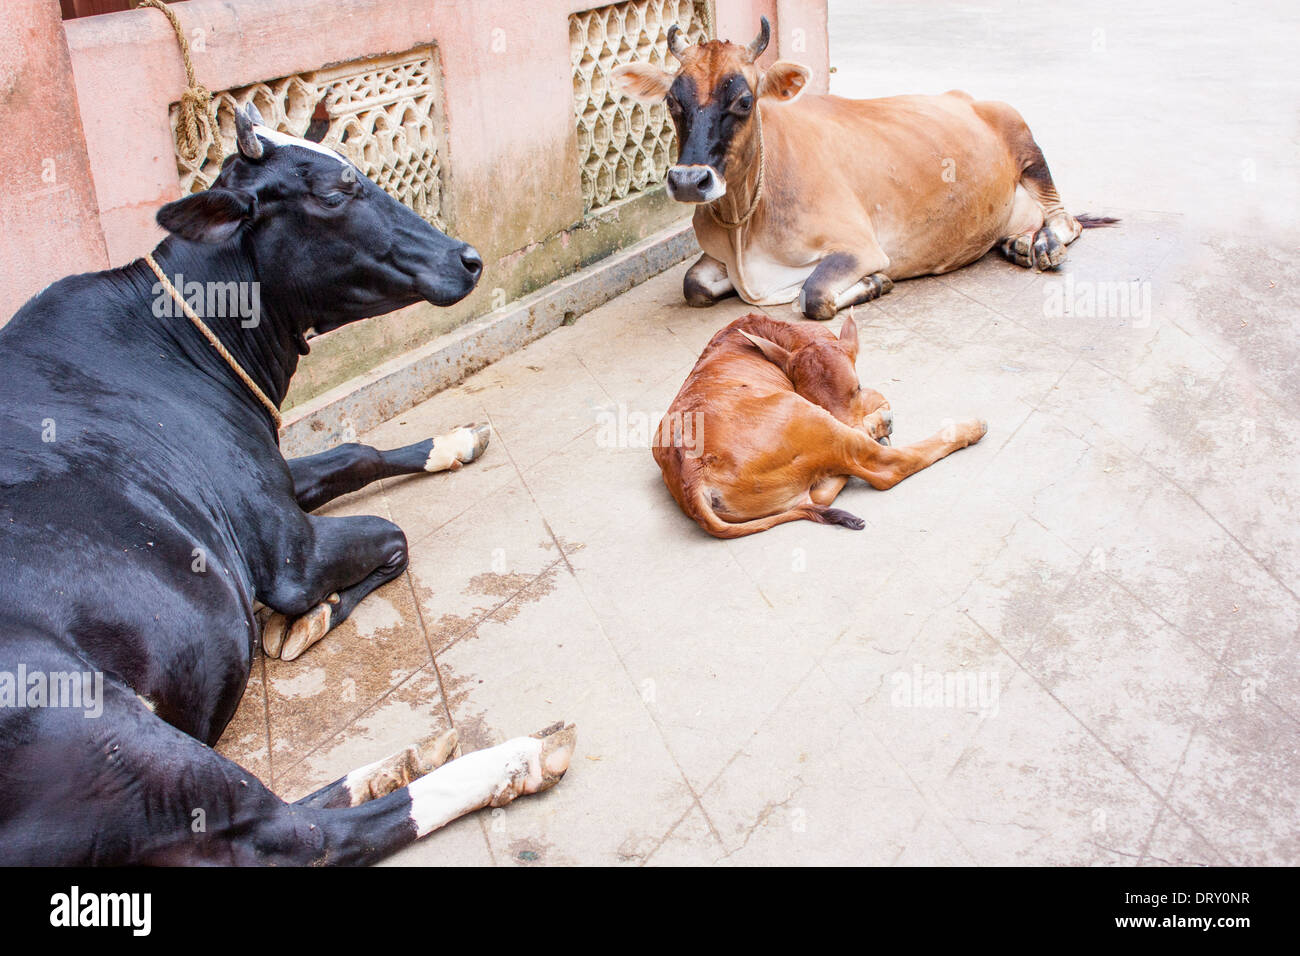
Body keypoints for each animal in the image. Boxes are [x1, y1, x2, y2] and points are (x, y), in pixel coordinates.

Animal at [0, 106, 574, 868]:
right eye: (334, 193)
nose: (469, 257)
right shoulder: (286, 554)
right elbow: (393, 537)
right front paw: (312, 618)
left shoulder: (267, 478)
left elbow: (354, 453)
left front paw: (452, 442)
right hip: (103, 732)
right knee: (304, 838)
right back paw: (515, 759)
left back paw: (396, 763)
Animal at [613, 16, 1112, 321]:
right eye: (673, 102)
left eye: (744, 100)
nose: (688, 181)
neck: (746, 225)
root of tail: (966, 96)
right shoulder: (712, 256)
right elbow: (692, 285)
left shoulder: (858, 247)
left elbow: (813, 295)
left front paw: (874, 283)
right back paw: (1018, 242)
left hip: (1025, 139)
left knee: (1065, 219)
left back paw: (1042, 245)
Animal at [650, 314, 982, 538]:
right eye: (812, 394)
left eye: (854, 388)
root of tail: (692, 475)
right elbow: (880, 399)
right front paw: (883, 422)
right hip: (818, 424)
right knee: (886, 466)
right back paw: (968, 428)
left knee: (821, 492)